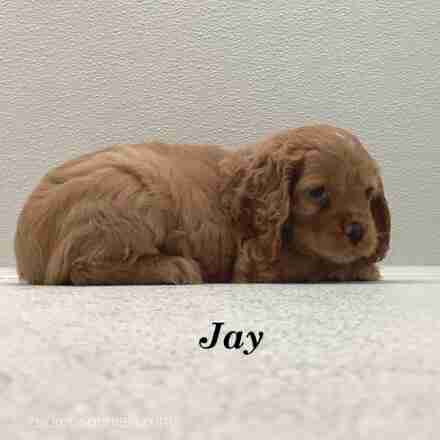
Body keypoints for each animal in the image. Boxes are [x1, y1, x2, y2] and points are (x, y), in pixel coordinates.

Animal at [15, 124, 390, 285]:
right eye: (317, 192)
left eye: (369, 193)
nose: (358, 232)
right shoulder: (258, 263)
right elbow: (316, 263)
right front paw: (360, 268)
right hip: (131, 196)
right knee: (82, 268)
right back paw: (174, 268)